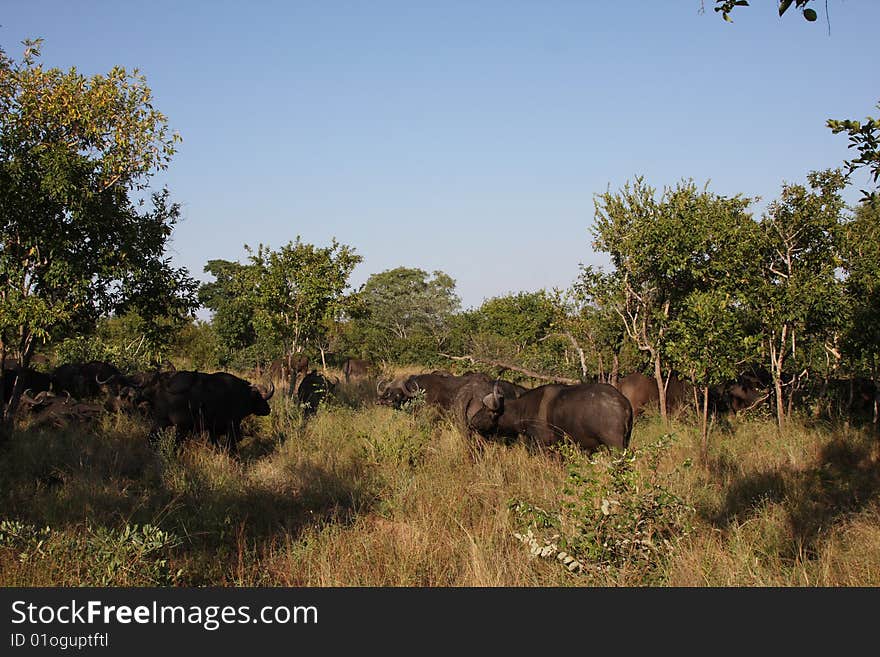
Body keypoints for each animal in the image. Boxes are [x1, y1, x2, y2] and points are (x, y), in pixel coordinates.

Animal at [137, 368, 276, 452]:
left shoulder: (213, 429)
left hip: (160, 422)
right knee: (175, 443)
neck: (241, 394)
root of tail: (160, 384)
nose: (268, 409)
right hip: (181, 427)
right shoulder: (232, 425)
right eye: (259, 397)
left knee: (152, 438)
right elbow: (232, 444)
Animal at [468, 382, 632, 454]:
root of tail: (623, 403)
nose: (472, 421)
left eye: (485, 409)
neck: (523, 410)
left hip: (615, 446)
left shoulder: (544, 446)